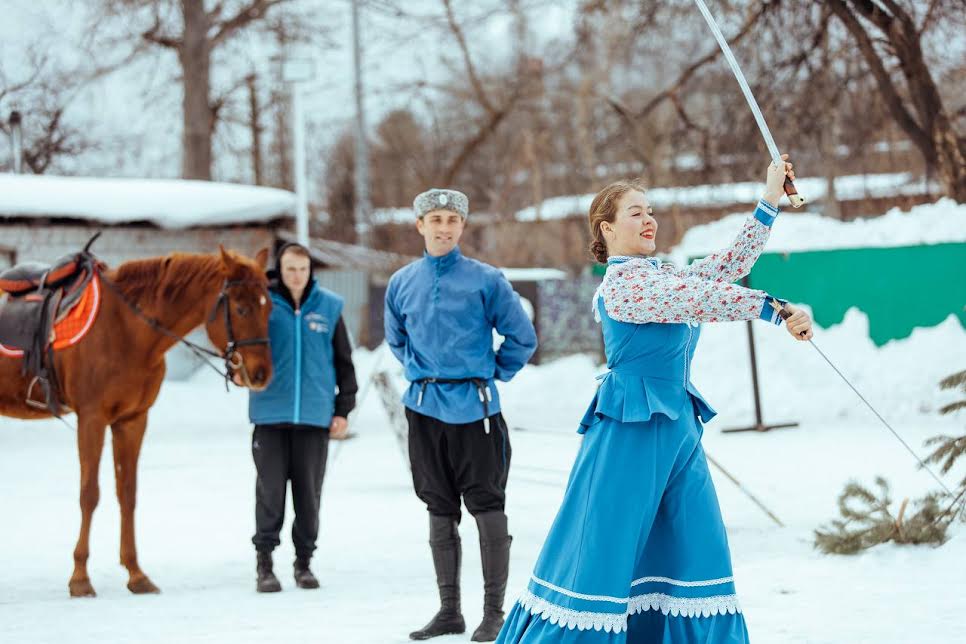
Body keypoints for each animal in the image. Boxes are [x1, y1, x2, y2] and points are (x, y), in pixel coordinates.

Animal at [0, 245, 274, 592]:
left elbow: (127, 494)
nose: (261, 374)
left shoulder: (132, 420)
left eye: (269, 308)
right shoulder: (91, 419)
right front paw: (80, 578)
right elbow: (89, 494)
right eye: (240, 309)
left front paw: (136, 574)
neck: (126, 328)